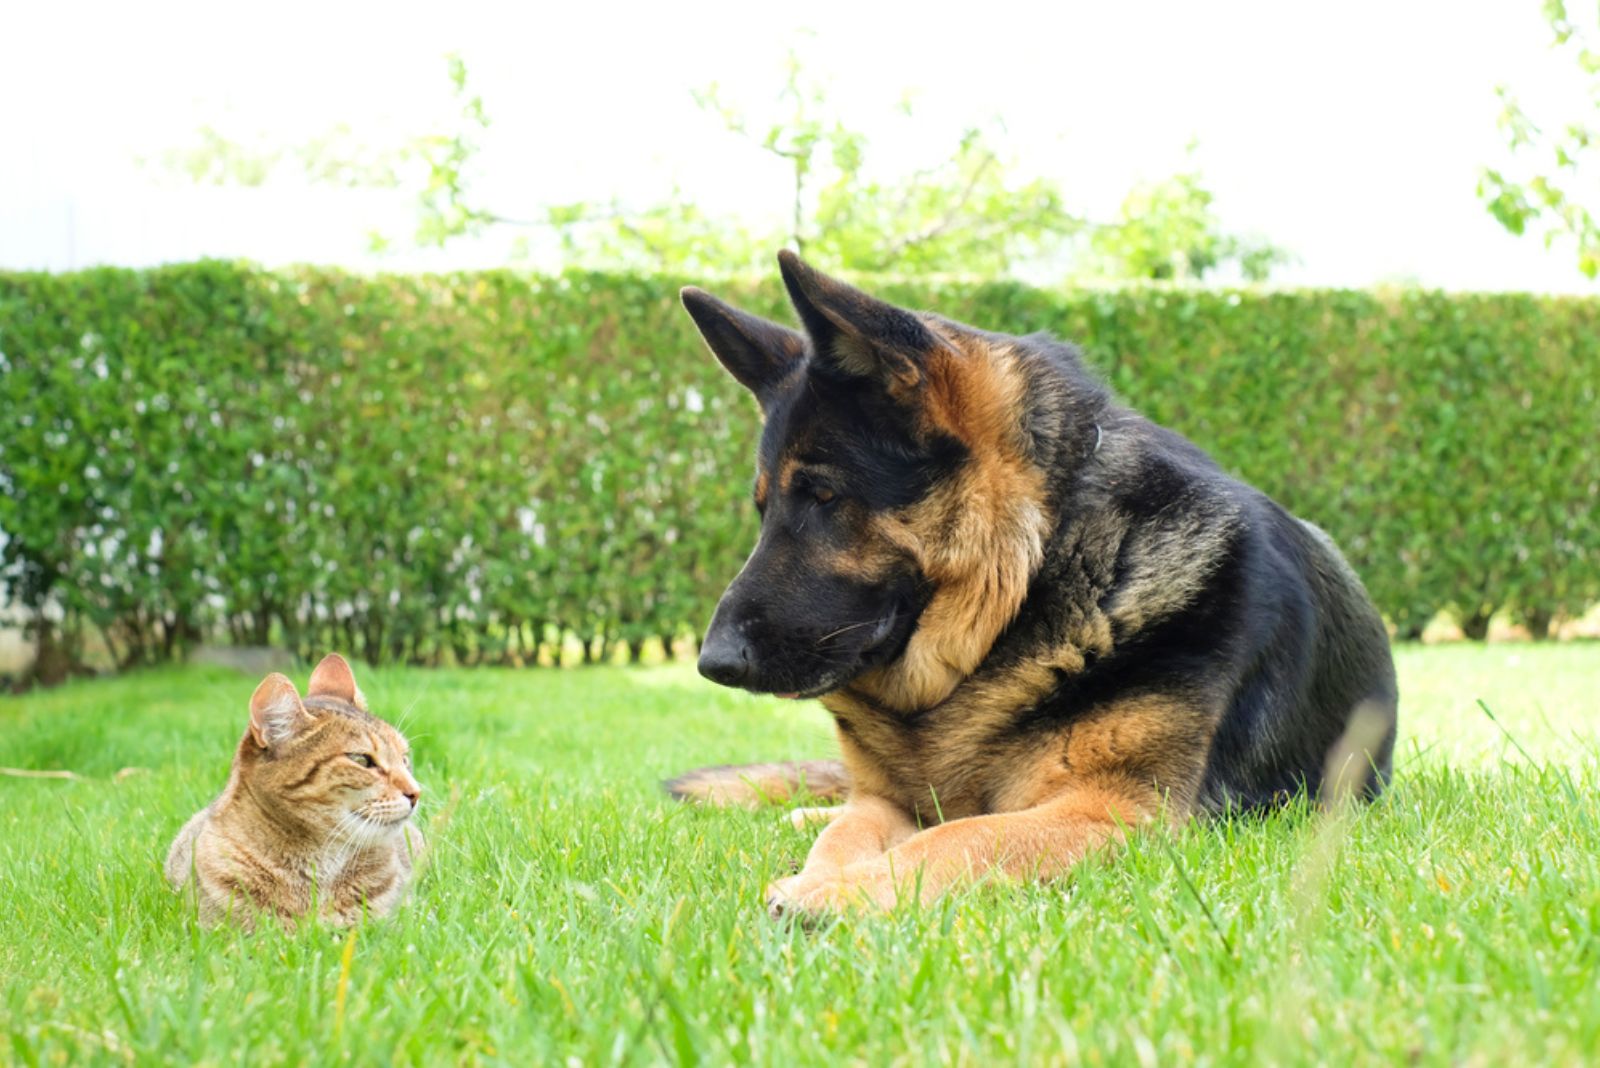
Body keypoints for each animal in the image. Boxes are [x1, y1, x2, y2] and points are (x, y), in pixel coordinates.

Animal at [668, 252, 1395, 920]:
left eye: (822, 495)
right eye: (764, 508)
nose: (713, 662)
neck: (1042, 571)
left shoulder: (1111, 809)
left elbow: (960, 836)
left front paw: (842, 890)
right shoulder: (886, 801)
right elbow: (850, 830)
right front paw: (825, 872)